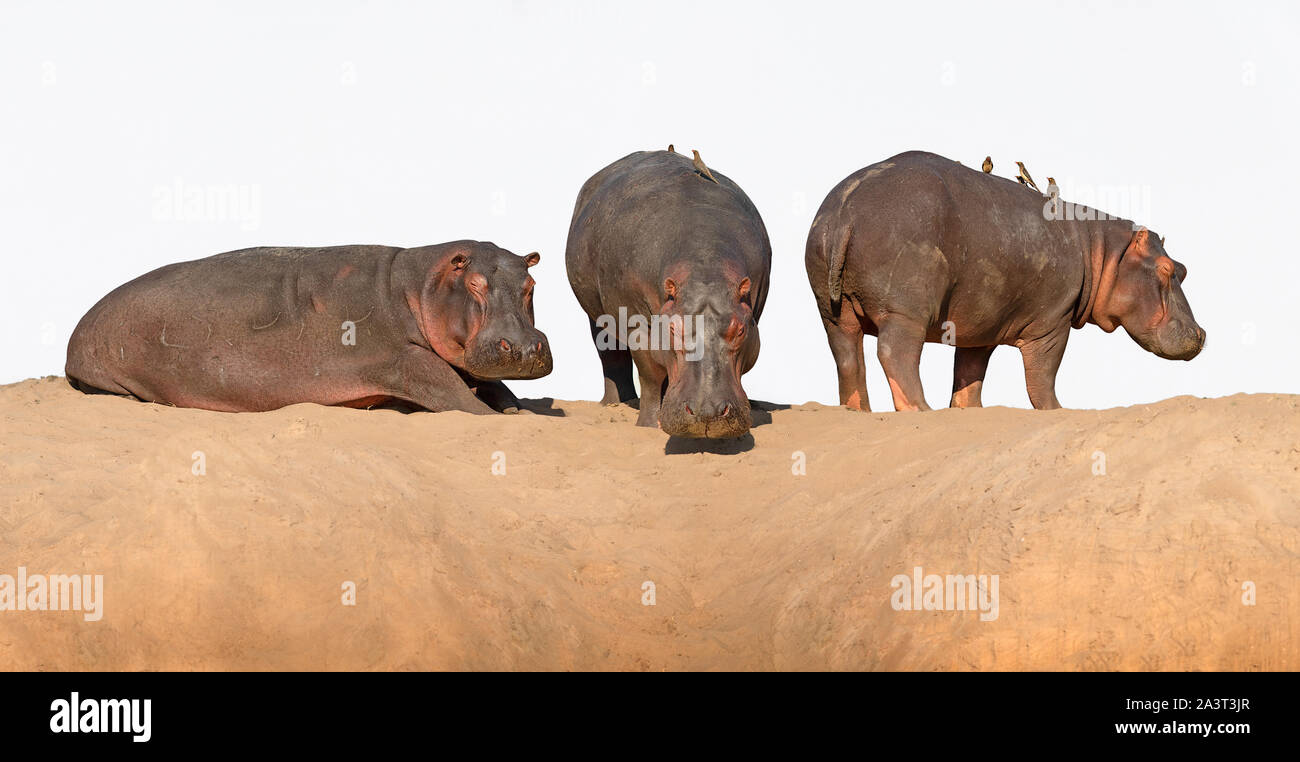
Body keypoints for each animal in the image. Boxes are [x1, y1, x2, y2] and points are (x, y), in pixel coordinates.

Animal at [67, 240, 553, 413]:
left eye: (530, 284)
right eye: (474, 284)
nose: (524, 348)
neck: (418, 287)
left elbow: (498, 390)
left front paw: (518, 408)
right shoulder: (403, 360)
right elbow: (463, 402)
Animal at [564, 148, 764, 436]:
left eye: (740, 330)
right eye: (673, 329)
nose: (708, 413)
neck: (705, 263)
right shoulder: (635, 321)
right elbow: (650, 371)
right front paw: (649, 424)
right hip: (597, 315)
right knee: (610, 354)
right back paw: (616, 403)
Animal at [806, 149, 1201, 408]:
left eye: (1183, 268)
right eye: (1167, 270)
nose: (1201, 334)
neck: (1103, 250)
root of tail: (846, 210)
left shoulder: (981, 325)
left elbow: (968, 378)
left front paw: (968, 413)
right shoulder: (1051, 324)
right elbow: (1042, 378)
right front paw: (1059, 411)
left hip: (834, 313)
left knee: (848, 359)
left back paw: (859, 412)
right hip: (905, 312)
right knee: (895, 354)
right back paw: (921, 411)